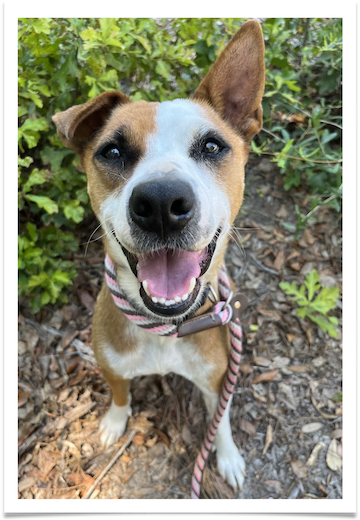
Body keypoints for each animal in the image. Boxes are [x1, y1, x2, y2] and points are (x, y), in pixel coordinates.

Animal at [53, 21, 266, 492]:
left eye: (211, 146)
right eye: (112, 151)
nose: (162, 203)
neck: (165, 329)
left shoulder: (217, 378)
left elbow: (221, 418)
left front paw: (227, 455)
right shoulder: (111, 365)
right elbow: (119, 394)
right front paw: (114, 423)